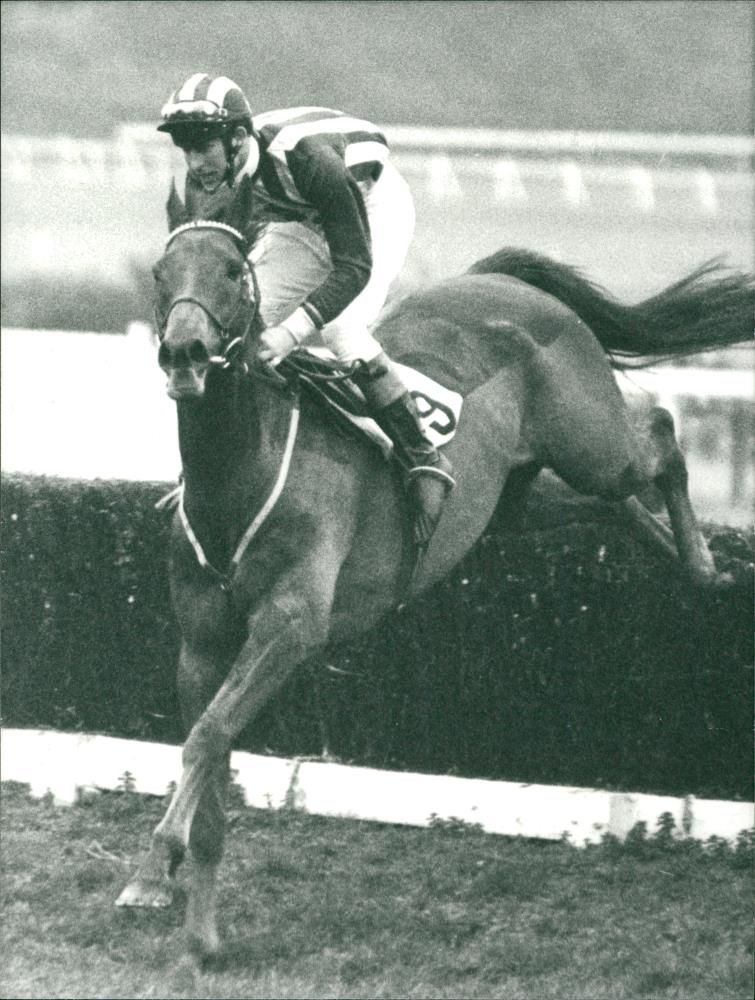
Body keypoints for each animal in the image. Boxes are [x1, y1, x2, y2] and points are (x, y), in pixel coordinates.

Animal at [115, 174, 752, 960]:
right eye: (159, 273)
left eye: (234, 272)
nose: (185, 353)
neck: (243, 468)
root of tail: (502, 280)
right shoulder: (203, 641)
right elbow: (208, 751)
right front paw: (194, 925)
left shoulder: (291, 626)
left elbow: (206, 738)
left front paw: (156, 866)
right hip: (510, 500)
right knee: (614, 505)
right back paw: (700, 563)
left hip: (591, 442)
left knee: (659, 434)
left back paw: (702, 560)